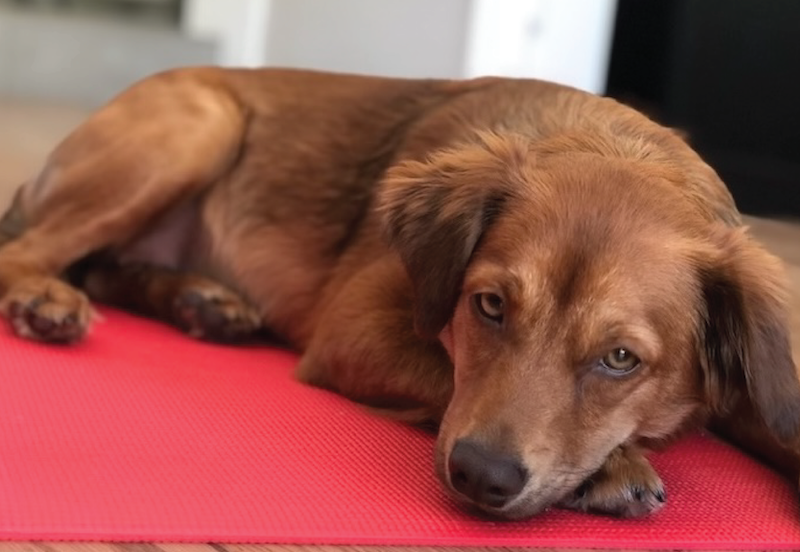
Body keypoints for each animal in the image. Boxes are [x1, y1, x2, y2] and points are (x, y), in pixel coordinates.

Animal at [1, 67, 800, 520]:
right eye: (490, 306)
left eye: (622, 359)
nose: (480, 477)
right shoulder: (352, 327)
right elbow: (445, 374)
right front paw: (616, 465)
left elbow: (777, 416)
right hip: (199, 123)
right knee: (27, 253)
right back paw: (46, 299)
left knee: (104, 267)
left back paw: (204, 302)